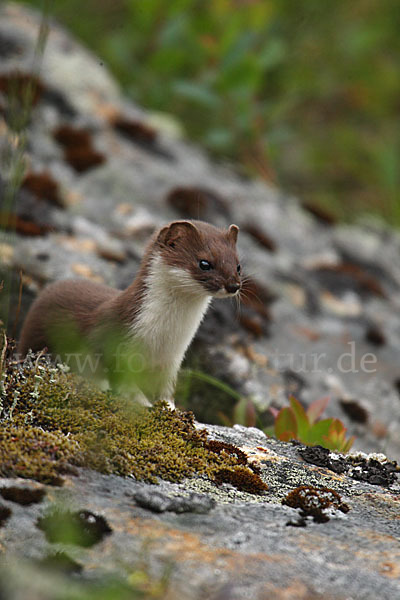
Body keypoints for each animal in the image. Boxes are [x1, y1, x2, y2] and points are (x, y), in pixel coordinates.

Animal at [18, 220, 241, 404]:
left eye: (238, 265)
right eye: (204, 263)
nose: (234, 285)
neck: (163, 339)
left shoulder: (172, 361)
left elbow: (166, 392)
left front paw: (171, 410)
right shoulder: (113, 343)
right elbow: (121, 381)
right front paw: (141, 402)